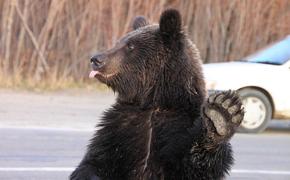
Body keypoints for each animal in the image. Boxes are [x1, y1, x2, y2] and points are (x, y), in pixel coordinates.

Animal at [69, 8, 242, 180]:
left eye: (130, 46)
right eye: (119, 42)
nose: (96, 59)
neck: (155, 101)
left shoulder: (179, 129)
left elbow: (196, 164)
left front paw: (221, 114)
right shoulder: (118, 129)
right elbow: (94, 163)